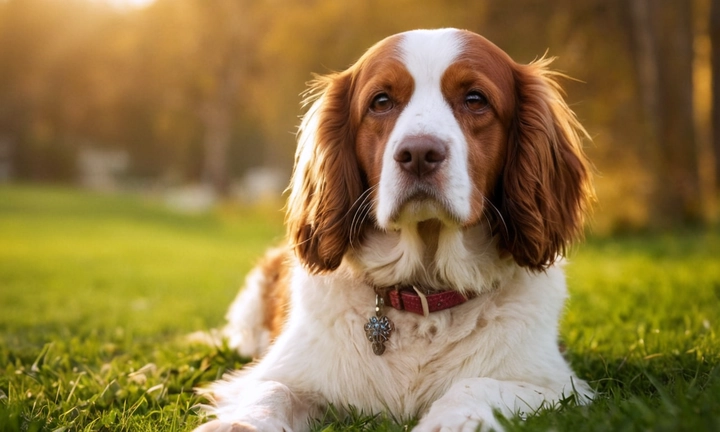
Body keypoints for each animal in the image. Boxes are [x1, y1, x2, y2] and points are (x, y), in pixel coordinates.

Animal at [194, 28, 592, 430]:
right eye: (381, 101)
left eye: (475, 99)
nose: (418, 154)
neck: (424, 290)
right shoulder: (278, 372)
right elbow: (271, 391)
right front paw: (242, 424)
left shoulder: (559, 386)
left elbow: (476, 384)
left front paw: (452, 421)